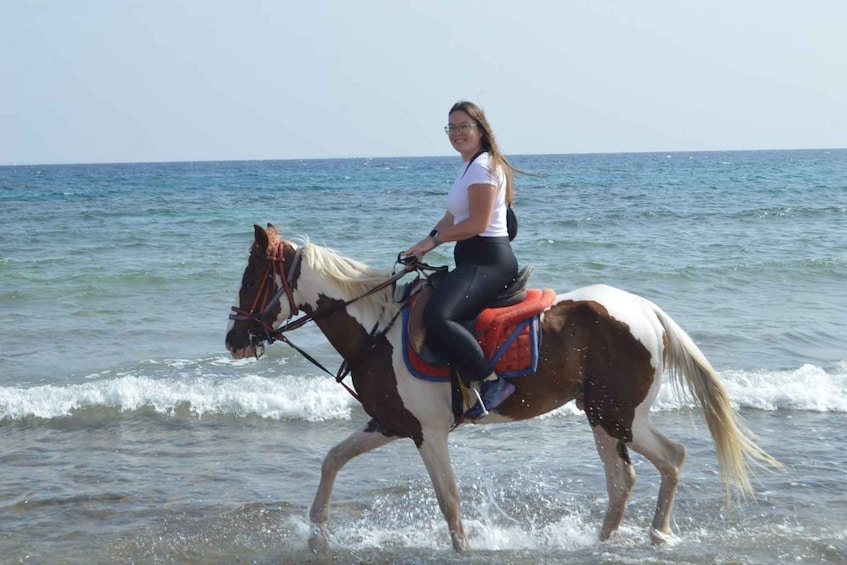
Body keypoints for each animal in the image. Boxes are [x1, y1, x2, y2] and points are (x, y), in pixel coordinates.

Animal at [225, 224, 780, 553]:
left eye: (251, 279)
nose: (233, 340)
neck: (377, 328)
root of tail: (645, 309)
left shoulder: (429, 433)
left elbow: (449, 499)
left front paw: (463, 550)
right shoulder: (388, 423)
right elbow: (332, 460)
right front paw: (317, 532)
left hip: (618, 415)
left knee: (667, 459)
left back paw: (652, 535)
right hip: (604, 416)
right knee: (629, 477)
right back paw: (611, 541)